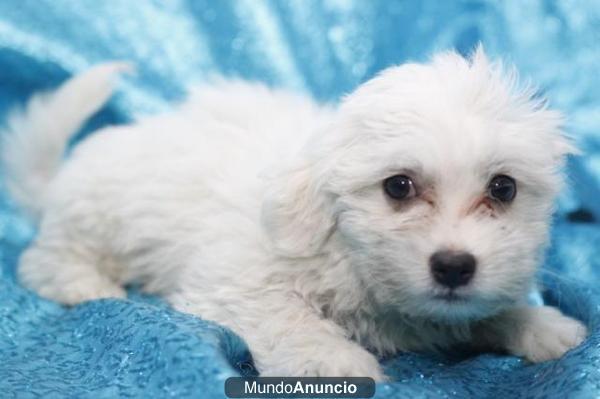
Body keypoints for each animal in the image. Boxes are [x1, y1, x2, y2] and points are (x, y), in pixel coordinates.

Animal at [2, 48, 588, 380]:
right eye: (398, 186)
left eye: (503, 188)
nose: (454, 266)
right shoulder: (236, 283)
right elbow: (286, 317)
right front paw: (333, 360)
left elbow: (488, 309)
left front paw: (540, 325)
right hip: (95, 215)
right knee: (43, 260)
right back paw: (85, 284)